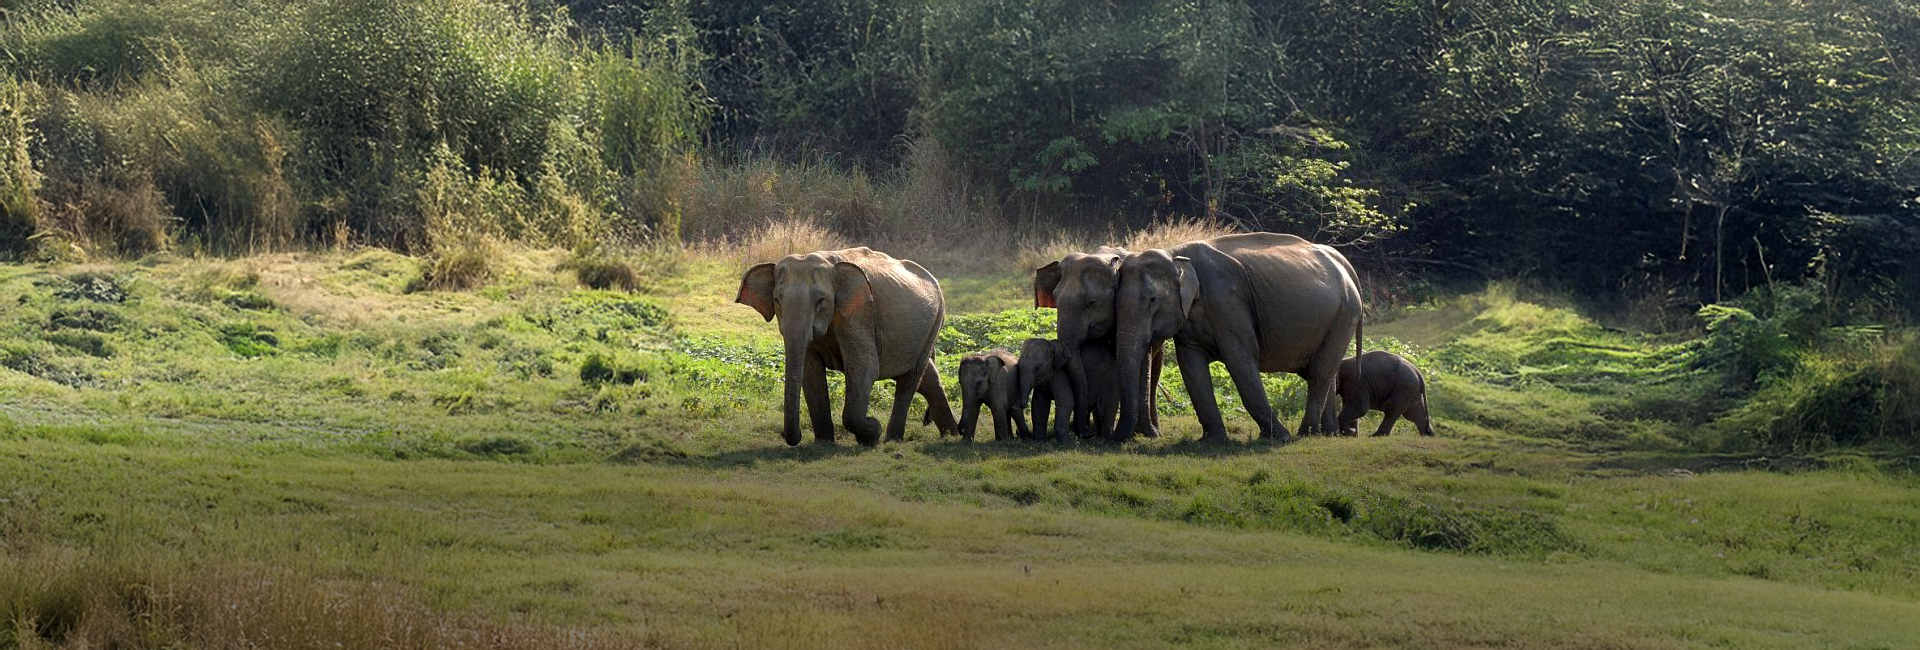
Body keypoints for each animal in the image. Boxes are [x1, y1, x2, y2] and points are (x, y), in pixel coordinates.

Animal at [736, 247, 958, 446]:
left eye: (821, 300)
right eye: (777, 300)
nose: (796, 437)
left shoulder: (858, 314)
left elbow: (865, 368)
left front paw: (872, 431)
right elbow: (810, 372)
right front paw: (823, 443)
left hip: (935, 322)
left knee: (911, 378)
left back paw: (892, 440)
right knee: (926, 376)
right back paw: (953, 434)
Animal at [1111, 233, 1364, 443]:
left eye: (1153, 300)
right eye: (1115, 302)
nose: (1115, 439)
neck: (1175, 253)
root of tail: (1344, 262)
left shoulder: (1228, 302)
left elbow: (1240, 360)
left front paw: (1279, 438)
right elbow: (1191, 369)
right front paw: (1211, 441)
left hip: (1345, 314)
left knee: (1319, 372)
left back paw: (1305, 434)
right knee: (1323, 372)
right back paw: (1328, 433)